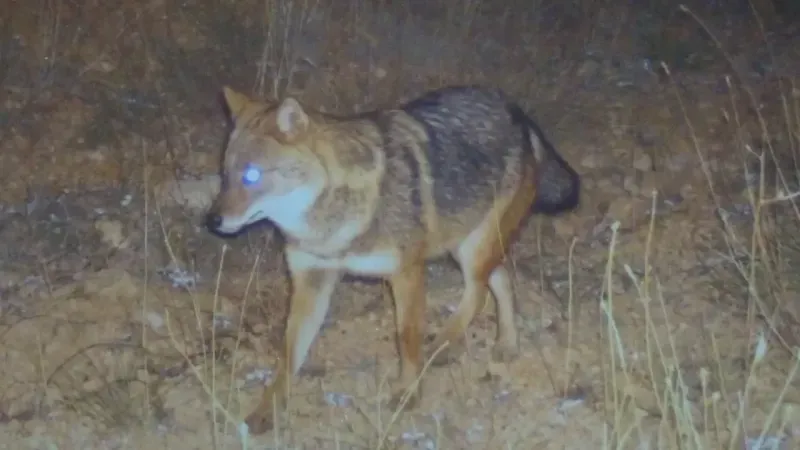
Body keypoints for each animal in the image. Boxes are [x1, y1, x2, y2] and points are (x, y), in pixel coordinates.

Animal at [205, 84, 580, 434]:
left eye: (252, 175)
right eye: (225, 174)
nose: (212, 221)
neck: (333, 220)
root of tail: (516, 111)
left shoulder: (406, 272)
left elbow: (407, 337)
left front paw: (408, 392)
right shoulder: (310, 284)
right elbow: (287, 355)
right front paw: (265, 411)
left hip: (471, 251)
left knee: (478, 293)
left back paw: (443, 344)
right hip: (466, 246)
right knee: (500, 280)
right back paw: (505, 343)